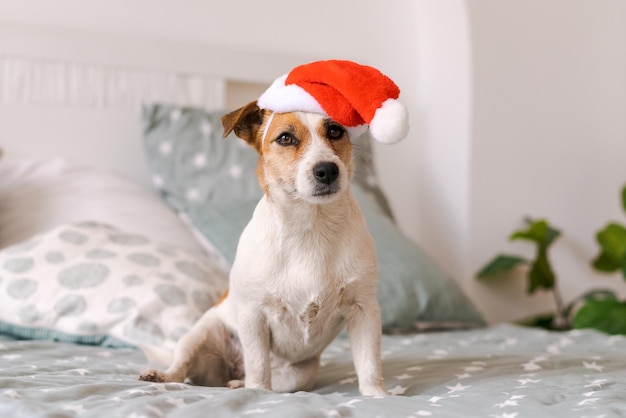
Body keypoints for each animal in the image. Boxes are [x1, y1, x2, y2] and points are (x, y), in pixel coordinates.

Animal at [138, 58, 408, 396]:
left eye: (335, 130)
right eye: (285, 138)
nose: (327, 170)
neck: (310, 226)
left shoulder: (364, 309)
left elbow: (369, 363)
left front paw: (377, 396)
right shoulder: (253, 315)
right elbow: (258, 366)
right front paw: (257, 393)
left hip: (299, 375)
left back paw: (236, 383)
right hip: (200, 332)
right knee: (182, 367)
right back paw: (166, 376)